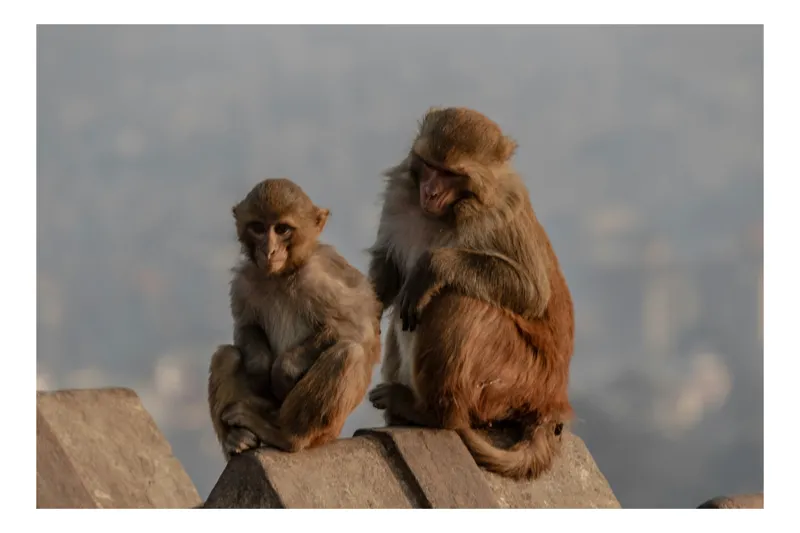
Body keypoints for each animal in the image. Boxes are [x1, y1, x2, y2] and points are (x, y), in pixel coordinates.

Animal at [208, 178, 382, 458]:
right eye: (258, 227)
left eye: (282, 229)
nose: (268, 250)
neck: (282, 275)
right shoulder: (244, 281)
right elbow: (245, 326)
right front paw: (260, 367)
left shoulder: (318, 279)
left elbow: (361, 330)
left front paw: (283, 370)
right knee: (227, 355)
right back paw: (236, 439)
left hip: (325, 431)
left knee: (348, 353)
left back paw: (284, 435)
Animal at [366, 107, 575, 480]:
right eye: (430, 166)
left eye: (451, 174)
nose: (430, 192)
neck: (450, 210)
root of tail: (553, 399)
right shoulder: (399, 193)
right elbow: (389, 266)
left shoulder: (500, 211)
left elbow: (531, 291)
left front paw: (435, 265)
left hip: (515, 379)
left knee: (456, 299)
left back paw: (431, 413)